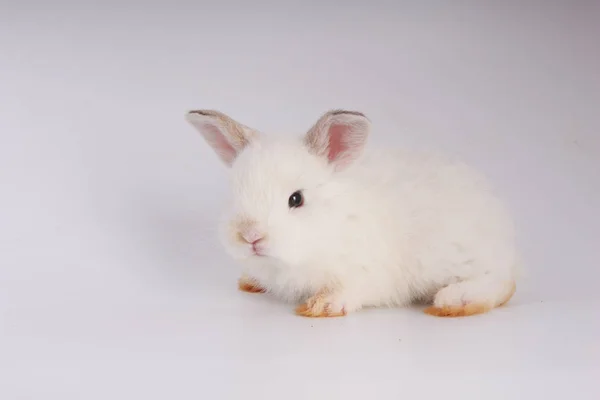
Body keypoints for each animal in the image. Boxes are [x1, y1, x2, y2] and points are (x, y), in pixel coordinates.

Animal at [185, 108, 516, 318]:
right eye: (234, 195)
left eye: (296, 199)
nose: (250, 236)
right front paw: (251, 281)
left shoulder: (368, 272)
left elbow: (352, 290)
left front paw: (321, 307)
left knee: (503, 281)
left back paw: (454, 301)